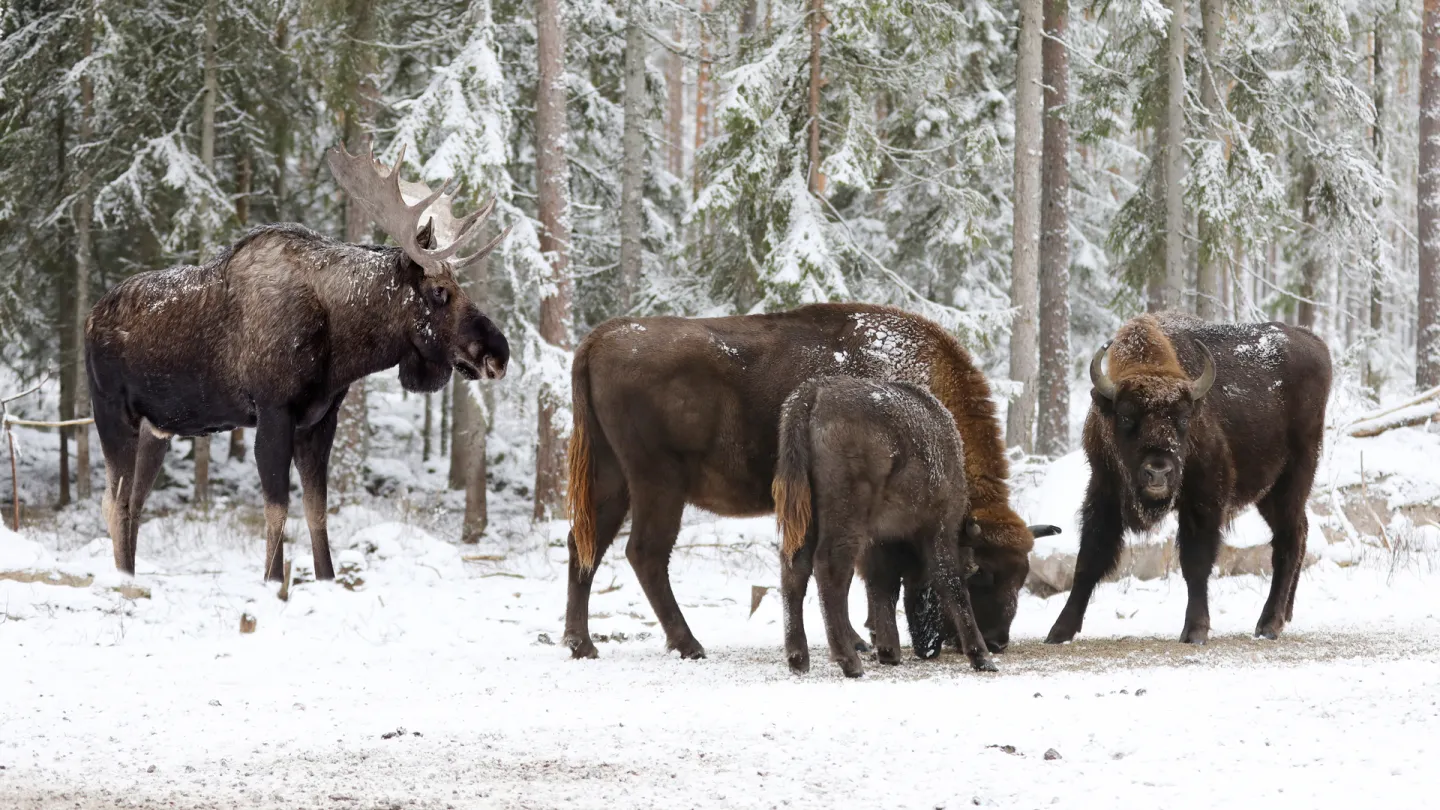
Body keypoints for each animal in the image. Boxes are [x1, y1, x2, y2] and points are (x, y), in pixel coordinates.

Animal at [85, 143, 512, 579]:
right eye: (439, 291)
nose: (499, 354)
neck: (342, 346)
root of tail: (90, 316)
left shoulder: (320, 420)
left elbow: (316, 510)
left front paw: (325, 578)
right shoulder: (274, 412)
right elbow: (277, 512)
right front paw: (274, 583)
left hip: (157, 429)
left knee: (135, 504)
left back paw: (129, 576)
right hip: (112, 413)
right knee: (113, 503)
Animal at [777, 374, 1002, 671]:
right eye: (971, 569)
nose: (928, 647)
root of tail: (815, 393)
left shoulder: (881, 539)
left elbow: (882, 585)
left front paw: (888, 651)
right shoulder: (939, 526)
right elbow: (949, 581)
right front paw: (982, 657)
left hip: (806, 518)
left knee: (795, 567)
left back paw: (798, 659)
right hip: (846, 518)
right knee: (830, 568)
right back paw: (849, 662)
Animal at [1042, 309, 1330, 642]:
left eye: (1182, 418)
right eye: (1125, 416)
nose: (1158, 471)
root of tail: (1313, 342)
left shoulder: (1204, 498)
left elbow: (1196, 562)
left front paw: (1195, 630)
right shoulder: (1104, 490)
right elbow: (1089, 559)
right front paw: (1059, 630)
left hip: (1294, 478)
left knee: (1288, 540)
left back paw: (1268, 624)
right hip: (1268, 493)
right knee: (1301, 531)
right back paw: (1285, 615)